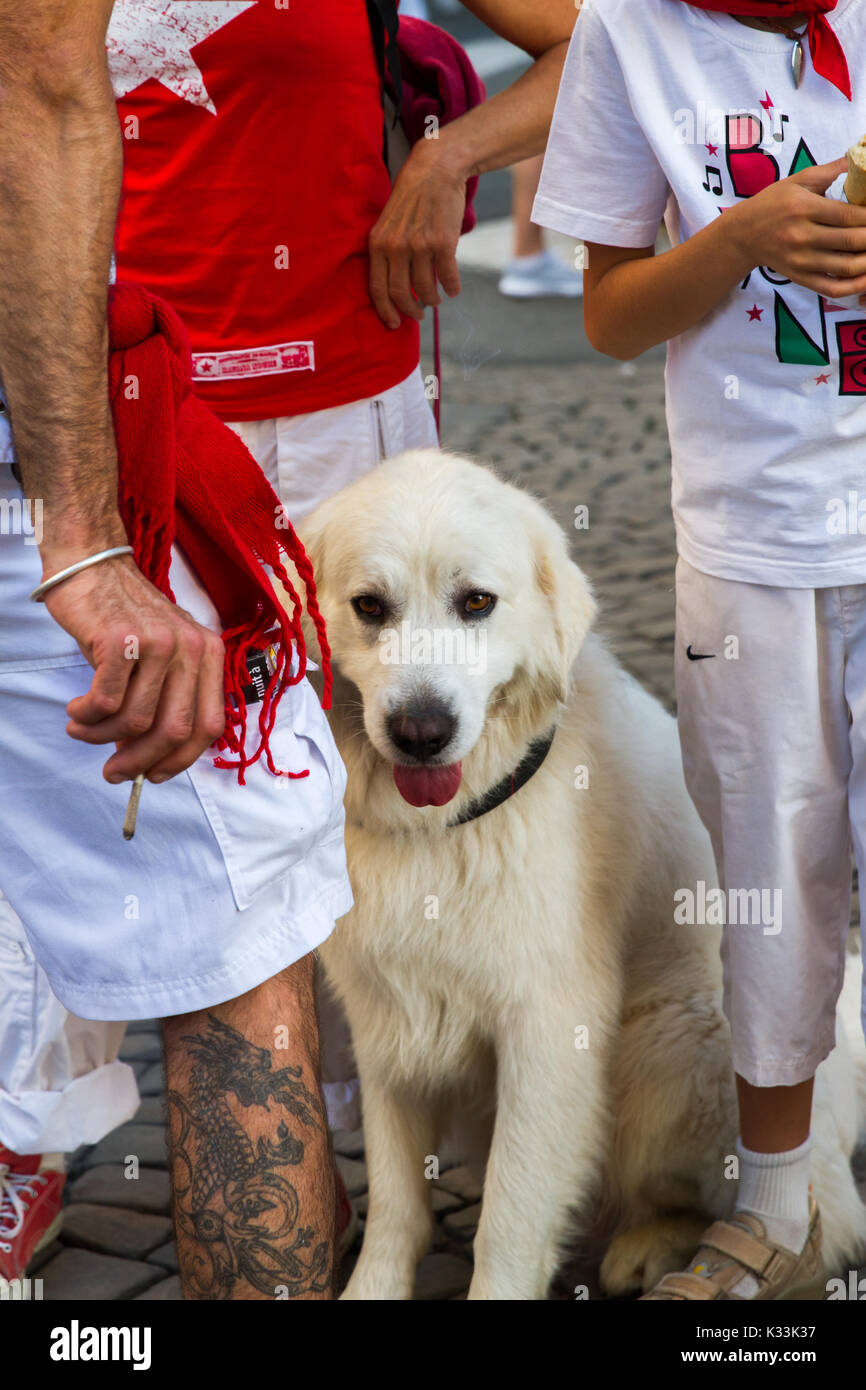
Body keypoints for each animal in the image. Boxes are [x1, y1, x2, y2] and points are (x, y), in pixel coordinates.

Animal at [297, 447, 866, 1301]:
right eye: (369, 606)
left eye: (476, 602)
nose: (422, 732)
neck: (441, 829)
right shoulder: (388, 1021)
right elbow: (398, 1203)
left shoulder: (545, 1028)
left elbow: (508, 1217)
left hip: (684, 1037)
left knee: (818, 1215)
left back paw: (664, 1251)